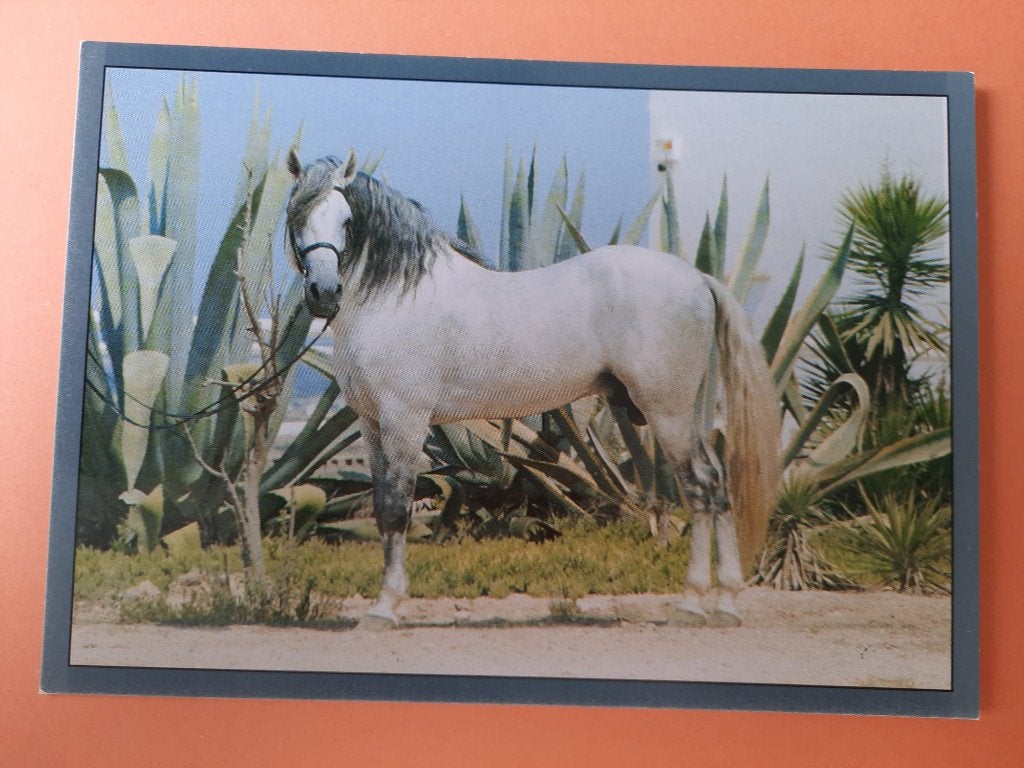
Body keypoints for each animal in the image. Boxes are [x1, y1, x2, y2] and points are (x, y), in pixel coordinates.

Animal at [284, 149, 780, 630]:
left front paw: (385, 609)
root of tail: (698, 279)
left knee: (700, 487)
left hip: (667, 412)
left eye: (347, 220)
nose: (324, 292)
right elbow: (384, 506)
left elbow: (395, 508)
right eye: (297, 215)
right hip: (688, 413)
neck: (398, 298)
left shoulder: (404, 421)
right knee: (716, 483)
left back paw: (697, 605)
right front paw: (382, 604)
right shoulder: (372, 424)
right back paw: (721, 603)